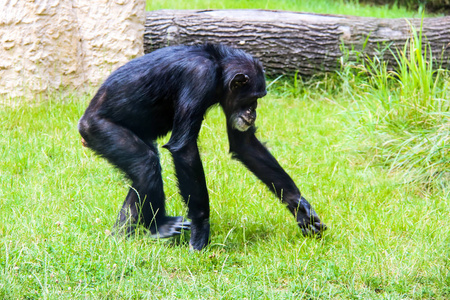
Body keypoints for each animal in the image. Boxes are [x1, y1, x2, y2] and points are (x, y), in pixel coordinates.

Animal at [78, 43, 326, 250]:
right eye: (253, 98)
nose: (253, 112)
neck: (217, 68)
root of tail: (84, 122)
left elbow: (244, 144)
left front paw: (300, 208)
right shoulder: (198, 78)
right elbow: (185, 148)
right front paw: (201, 229)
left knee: (140, 176)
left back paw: (122, 237)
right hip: (100, 129)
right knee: (144, 164)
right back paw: (159, 227)